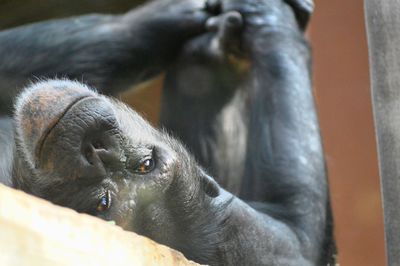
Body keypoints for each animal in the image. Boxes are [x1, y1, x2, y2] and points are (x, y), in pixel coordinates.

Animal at [0, 0, 336, 264]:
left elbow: (298, 223)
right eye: (102, 203)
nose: (95, 149)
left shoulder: (258, 242)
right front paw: (166, 21)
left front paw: (269, 23)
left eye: (144, 166)